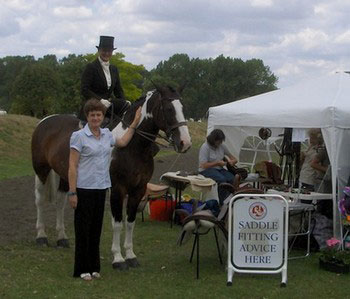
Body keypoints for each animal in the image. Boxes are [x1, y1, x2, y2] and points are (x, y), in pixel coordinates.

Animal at [30, 85, 191, 268]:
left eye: (183, 108)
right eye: (169, 109)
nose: (185, 143)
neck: (131, 146)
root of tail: (45, 121)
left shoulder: (138, 190)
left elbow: (130, 222)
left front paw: (131, 256)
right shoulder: (117, 189)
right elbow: (117, 223)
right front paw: (118, 259)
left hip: (65, 175)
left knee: (60, 202)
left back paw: (62, 238)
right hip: (41, 170)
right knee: (40, 200)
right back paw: (41, 236)